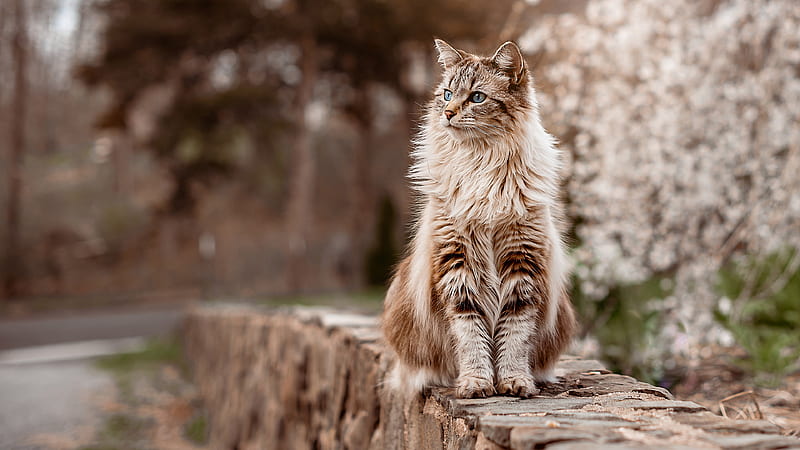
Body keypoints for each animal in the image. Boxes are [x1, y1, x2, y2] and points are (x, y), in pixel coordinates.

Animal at [382, 40, 576, 400]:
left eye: (476, 97)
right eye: (446, 94)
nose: (448, 113)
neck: (481, 163)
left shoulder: (522, 263)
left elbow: (514, 336)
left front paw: (514, 383)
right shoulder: (456, 263)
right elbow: (470, 335)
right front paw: (476, 383)